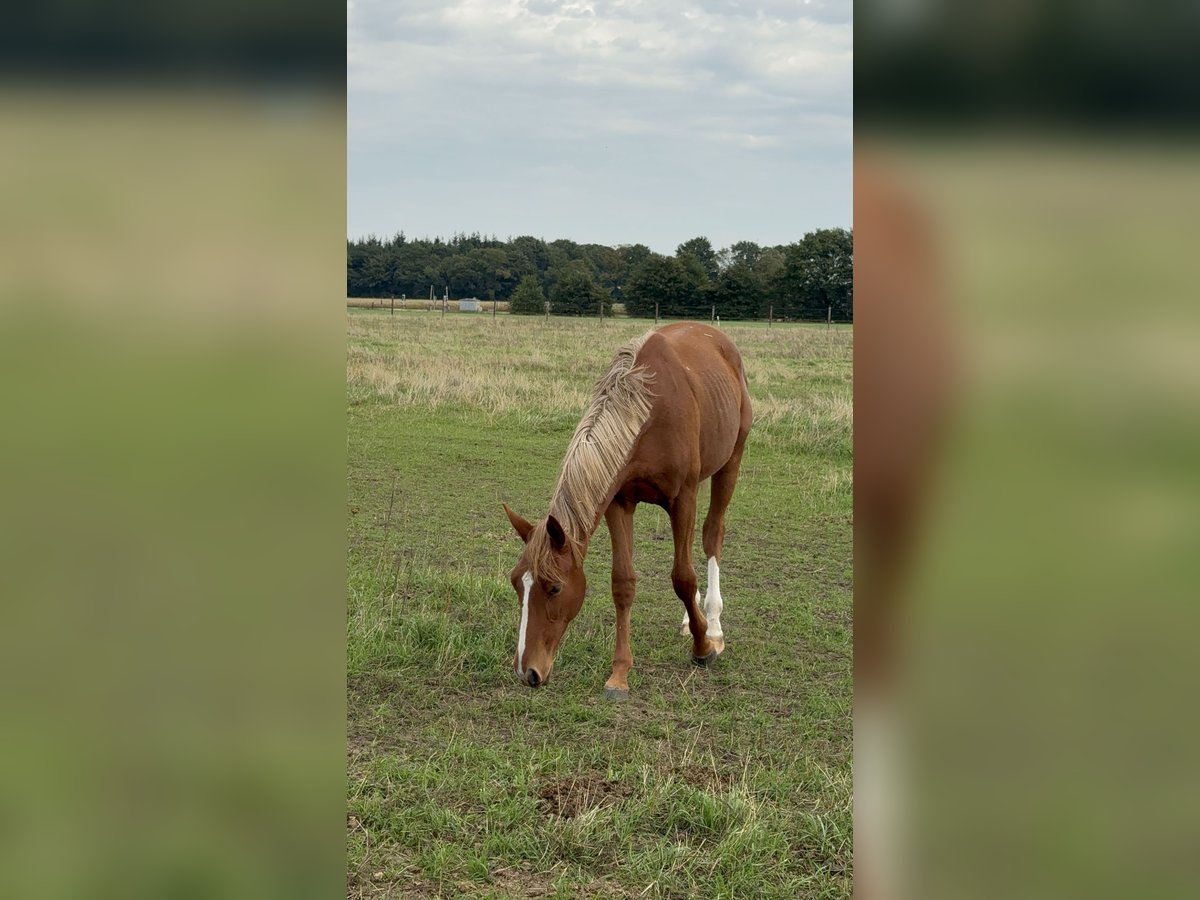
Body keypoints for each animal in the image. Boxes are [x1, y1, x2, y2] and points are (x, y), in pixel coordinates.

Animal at [502, 322, 753, 700]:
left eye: (555, 588)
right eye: (517, 582)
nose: (527, 672)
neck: (649, 412)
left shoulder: (683, 499)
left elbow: (682, 577)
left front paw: (702, 648)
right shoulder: (618, 502)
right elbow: (623, 583)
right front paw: (619, 673)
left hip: (731, 462)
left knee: (712, 535)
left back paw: (713, 626)